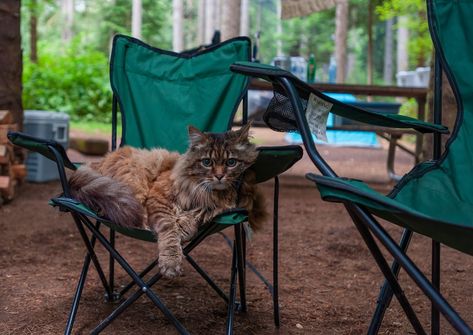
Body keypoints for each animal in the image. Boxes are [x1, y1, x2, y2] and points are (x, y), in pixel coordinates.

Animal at [67, 124, 266, 280]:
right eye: (207, 162)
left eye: (231, 162)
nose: (219, 176)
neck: (208, 193)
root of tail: (99, 161)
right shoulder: (159, 198)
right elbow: (169, 229)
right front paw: (170, 261)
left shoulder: (216, 207)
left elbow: (196, 216)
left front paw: (184, 228)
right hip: (135, 186)